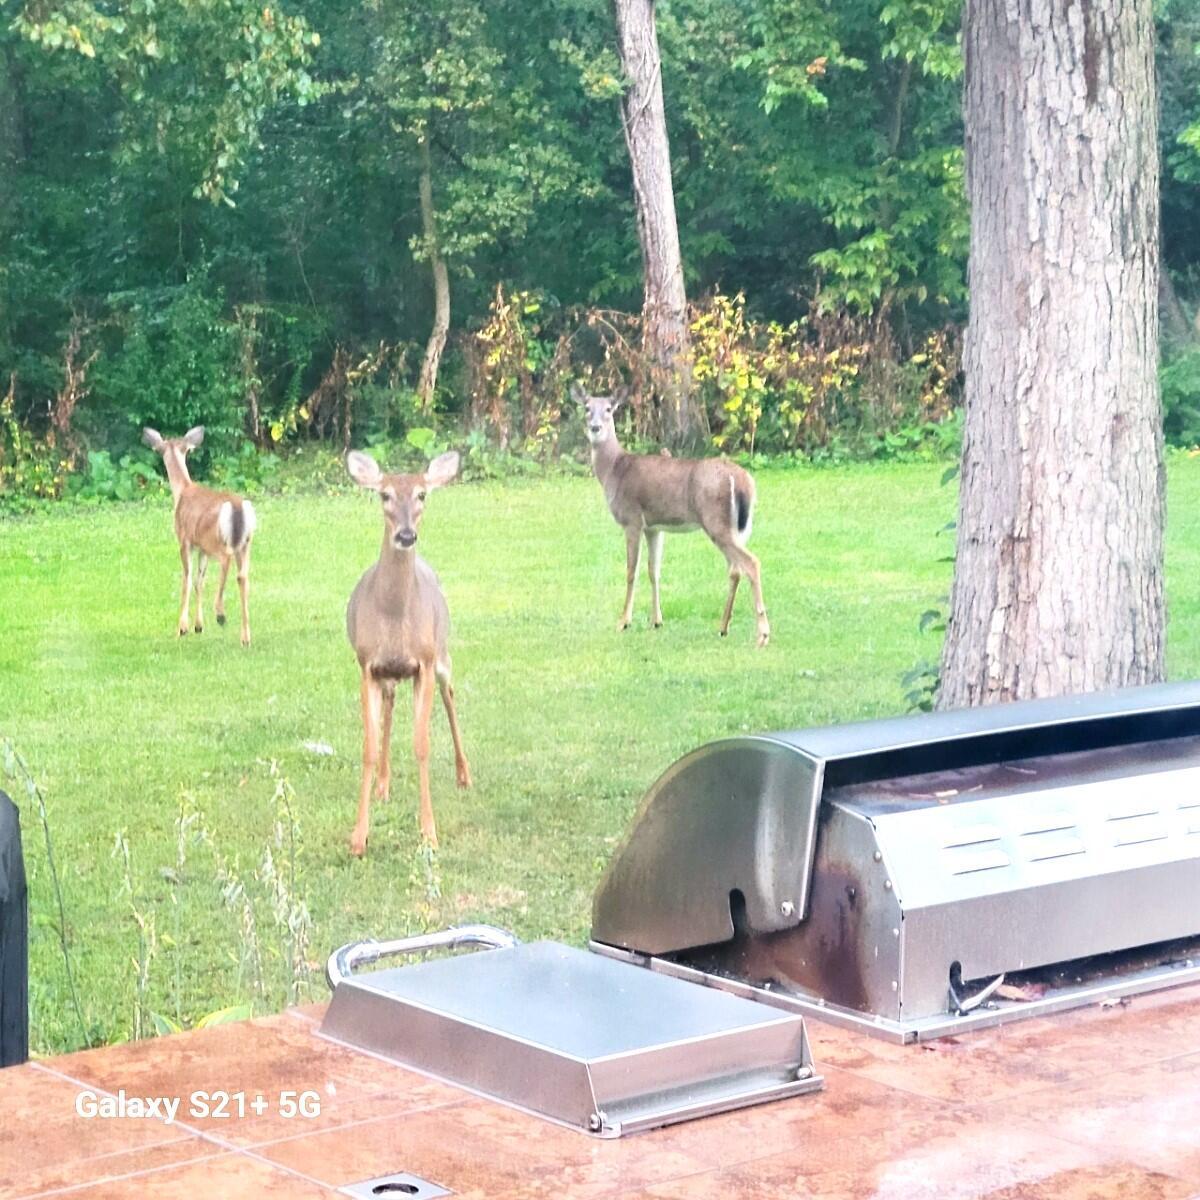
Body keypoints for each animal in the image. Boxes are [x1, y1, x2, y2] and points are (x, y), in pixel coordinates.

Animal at [142, 426, 256, 646]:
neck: (182, 491)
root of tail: (237, 507)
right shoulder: (202, 549)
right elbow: (199, 582)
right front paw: (198, 626)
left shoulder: (185, 540)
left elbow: (186, 581)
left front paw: (182, 628)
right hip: (245, 542)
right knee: (243, 576)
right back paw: (245, 637)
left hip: (218, 540)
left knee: (226, 562)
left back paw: (220, 614)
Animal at [344, 448, 471, 856]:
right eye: (384, 495)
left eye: (422, 494)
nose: (405, 535)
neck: (395, 615)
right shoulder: (367, 665)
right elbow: (369, 747)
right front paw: (358, 837)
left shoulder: (424, 664)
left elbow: (421, 744)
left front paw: (429, 832)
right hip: (389, 675)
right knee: (389, 705)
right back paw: (383, 785)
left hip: (442, 653)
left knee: (450, 695)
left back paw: (464, 774)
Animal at [573, 384, 770, 647]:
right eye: (586, 408)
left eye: (609, 409)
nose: (595, 427)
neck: (614, 469)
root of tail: (742, 480)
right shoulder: (654, 527)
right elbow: (653, 570)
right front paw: (657, 621)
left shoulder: (632, 518)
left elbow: (631, 571)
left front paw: (624, 622)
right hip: (738, 527)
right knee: (735, 569)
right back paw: (723, 627)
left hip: (716, 522)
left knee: (751, 563)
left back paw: (762, 634)